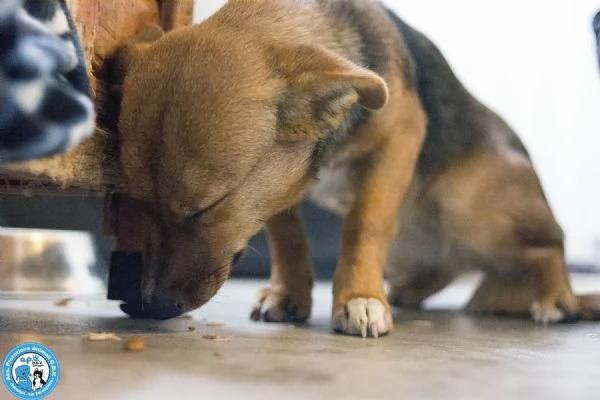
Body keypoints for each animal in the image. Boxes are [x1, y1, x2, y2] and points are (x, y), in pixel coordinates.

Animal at [116, 0, 600, 338]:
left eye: (205, 208)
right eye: (136, 201)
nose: (150, 305)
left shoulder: (402, 135)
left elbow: (365, 223)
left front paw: (360, 298)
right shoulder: (280, 181)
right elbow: (286, 235)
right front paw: (288, 294)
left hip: (467, 206)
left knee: (551, 245)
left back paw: (556, 300)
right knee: (446, 265)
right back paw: (410, 289)